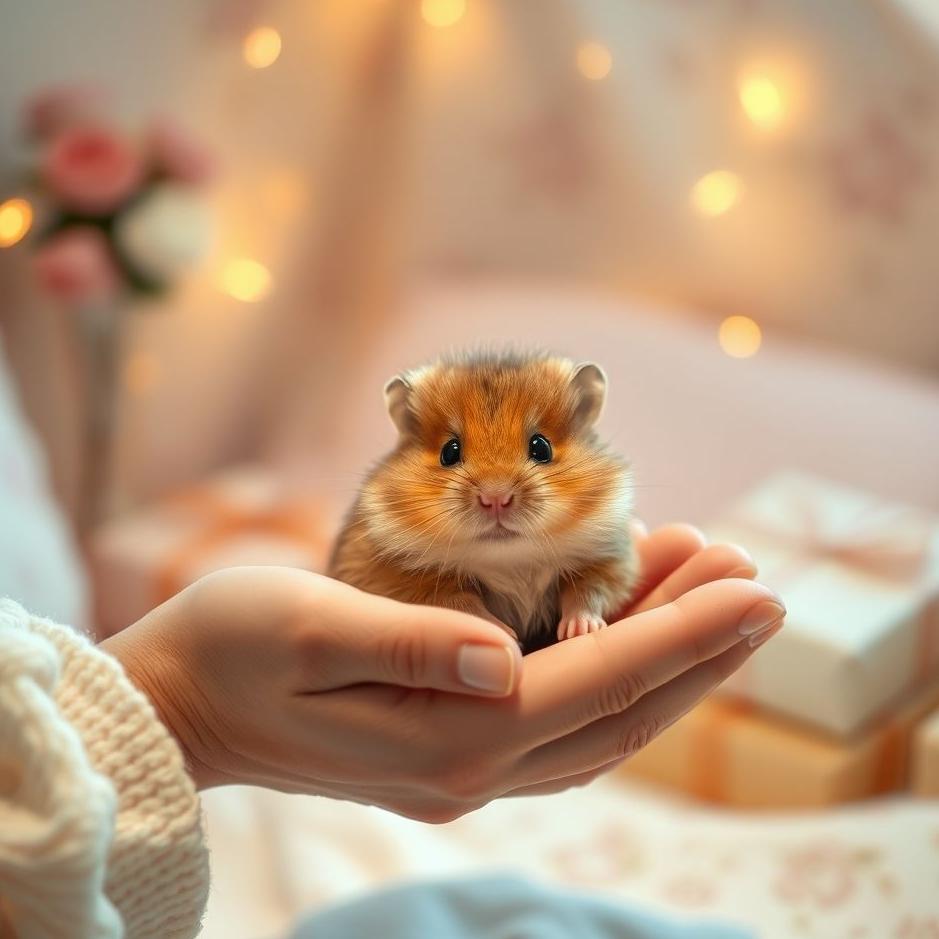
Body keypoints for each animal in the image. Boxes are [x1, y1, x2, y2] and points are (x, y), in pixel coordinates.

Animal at [328, 351, 638, 649]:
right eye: (449, 452)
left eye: (541, 447)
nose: (496, 498)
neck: (511, 561)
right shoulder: (411, 580)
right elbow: (461, 604)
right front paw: (507, 633)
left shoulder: (609, 561)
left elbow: (587, 592)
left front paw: (580, 629)